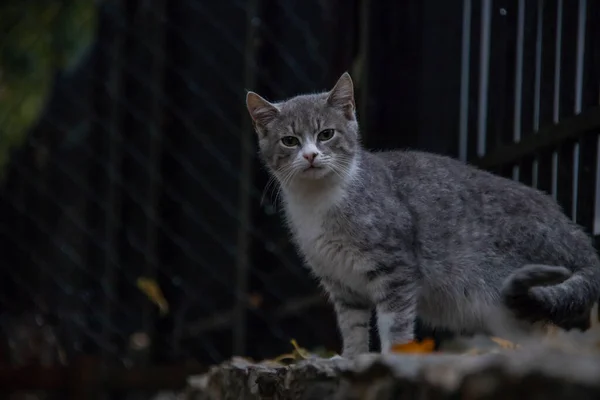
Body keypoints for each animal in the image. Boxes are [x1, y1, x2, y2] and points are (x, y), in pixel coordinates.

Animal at [244, 73, 600, 358]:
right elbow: (353, 328)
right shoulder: (342, 285)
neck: (317, 201)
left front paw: (394, 357)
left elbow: (395, 324)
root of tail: (575, 235)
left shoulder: (396, 268)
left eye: (326, 134)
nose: (311, 155)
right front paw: (351, 359)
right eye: (289, 140)